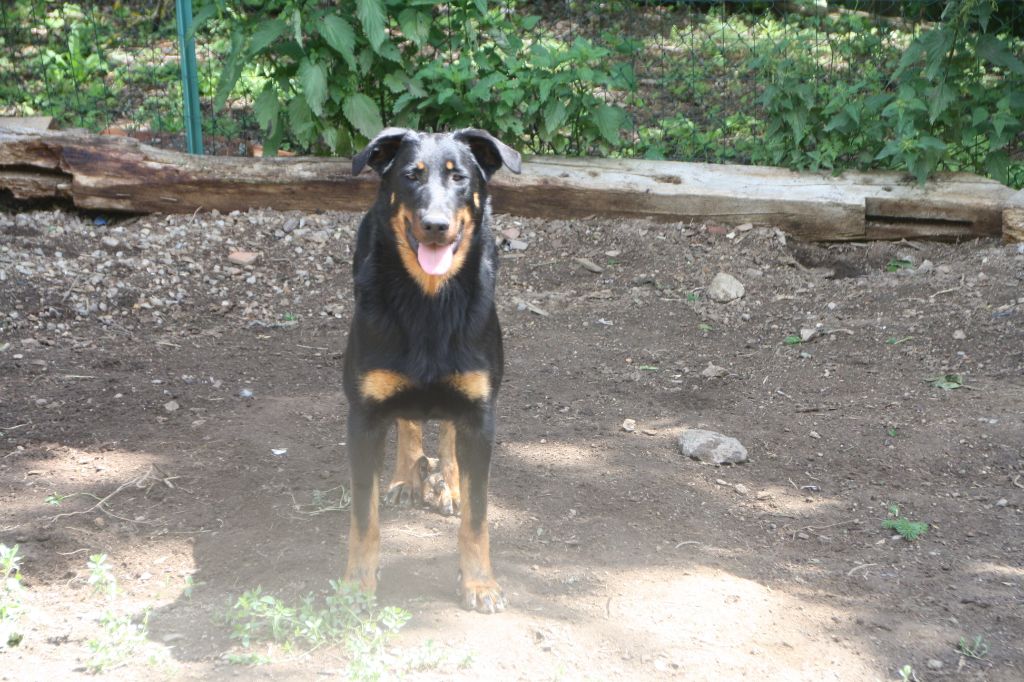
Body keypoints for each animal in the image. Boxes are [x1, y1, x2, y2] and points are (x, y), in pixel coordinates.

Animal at [342, 125, 520, 610]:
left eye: (460, 178)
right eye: (410, 175)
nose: (436, 226)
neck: (428, 299)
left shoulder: (481, 415)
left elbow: (477, 518)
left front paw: (479, 583)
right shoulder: (363, 418)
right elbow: (363, 518)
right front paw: (357, 584)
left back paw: (449, 484)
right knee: (409, 421)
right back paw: (406, 477)